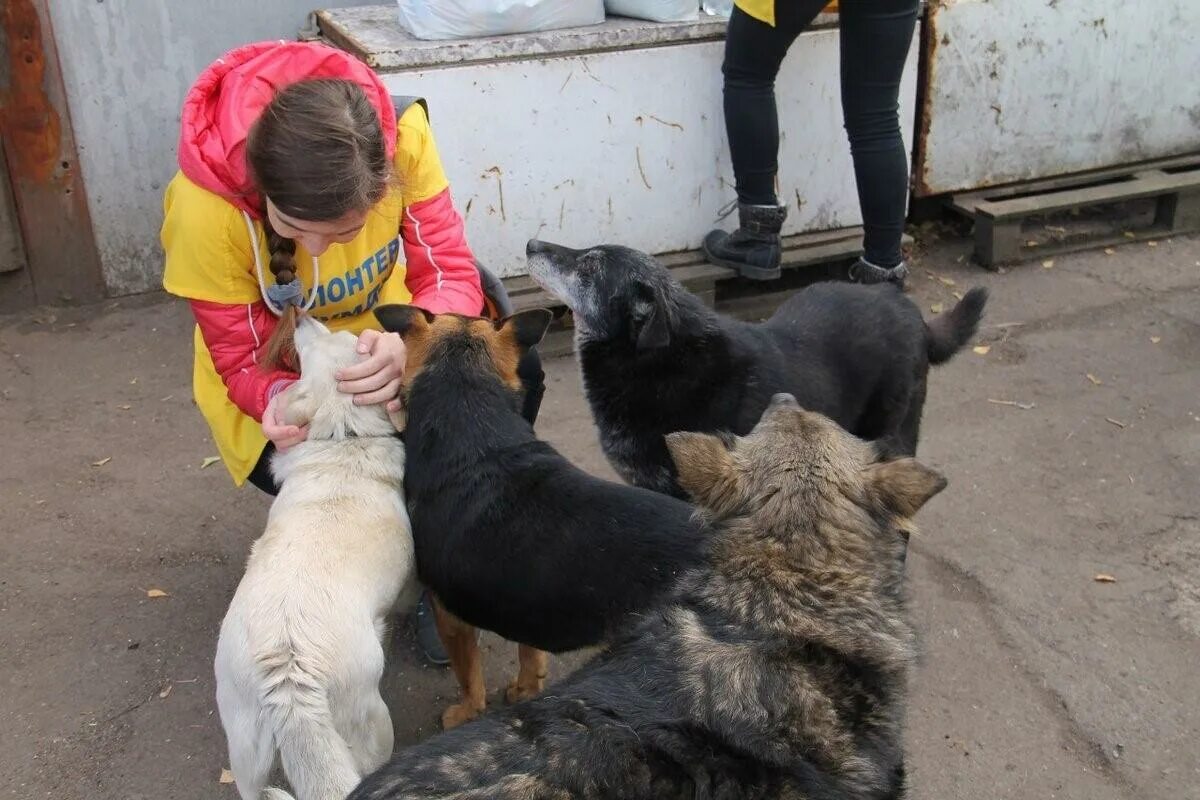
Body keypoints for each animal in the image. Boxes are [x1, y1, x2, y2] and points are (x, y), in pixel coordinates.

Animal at [213, 319, 420, 800]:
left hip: (243, 741)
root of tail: (289, 671)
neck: (344, 437)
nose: (301, 318)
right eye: (351, 339)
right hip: (371, 719)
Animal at [374, 307, 705, 734]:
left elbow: (470, 678)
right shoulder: (530, 607)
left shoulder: (451, 618)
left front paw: (465, 712)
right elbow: (530, 656)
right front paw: (525, 688)